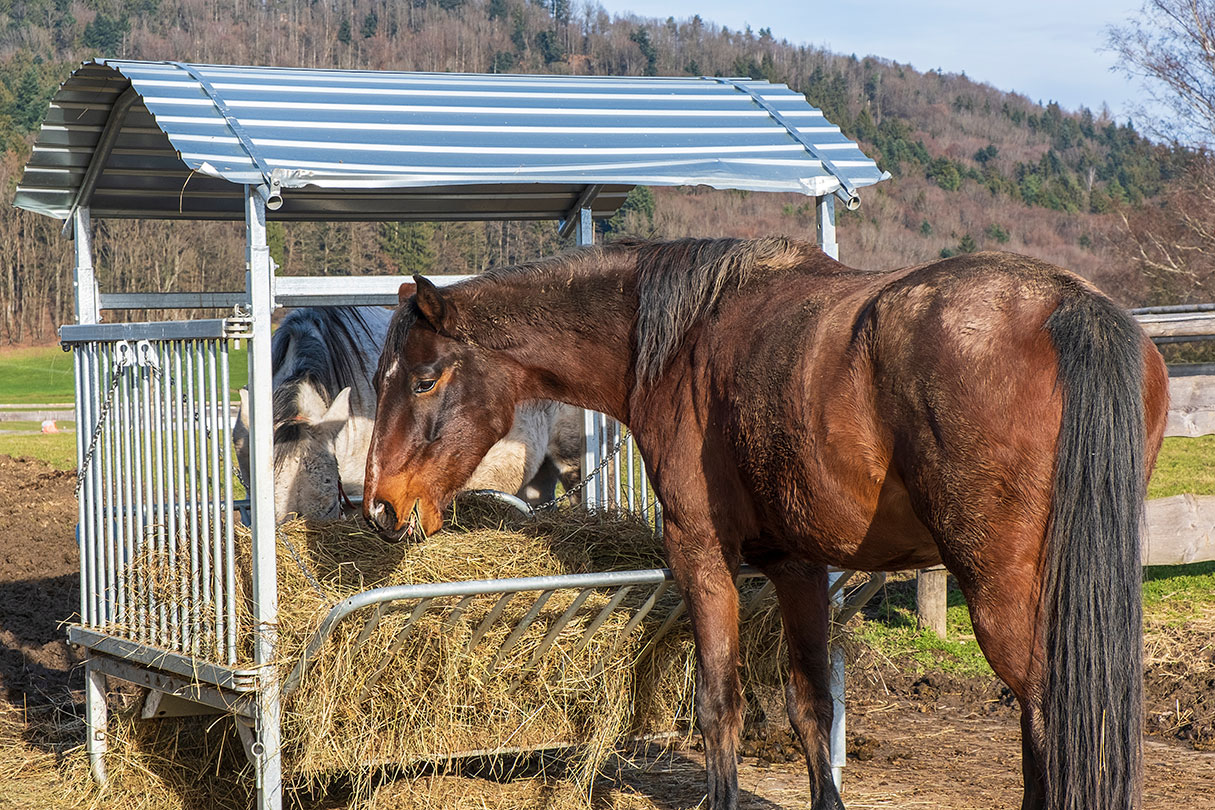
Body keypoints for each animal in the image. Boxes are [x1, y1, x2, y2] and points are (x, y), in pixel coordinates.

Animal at [362, 237, 1169, 810]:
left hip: (1003, 593)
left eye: (425, 379)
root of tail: (1069, 305)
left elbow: (719, 705)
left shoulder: (701, 556)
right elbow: (811, 708)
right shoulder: (797, 565)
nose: (379, 507)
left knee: (1047, 721)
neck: (683, 343)